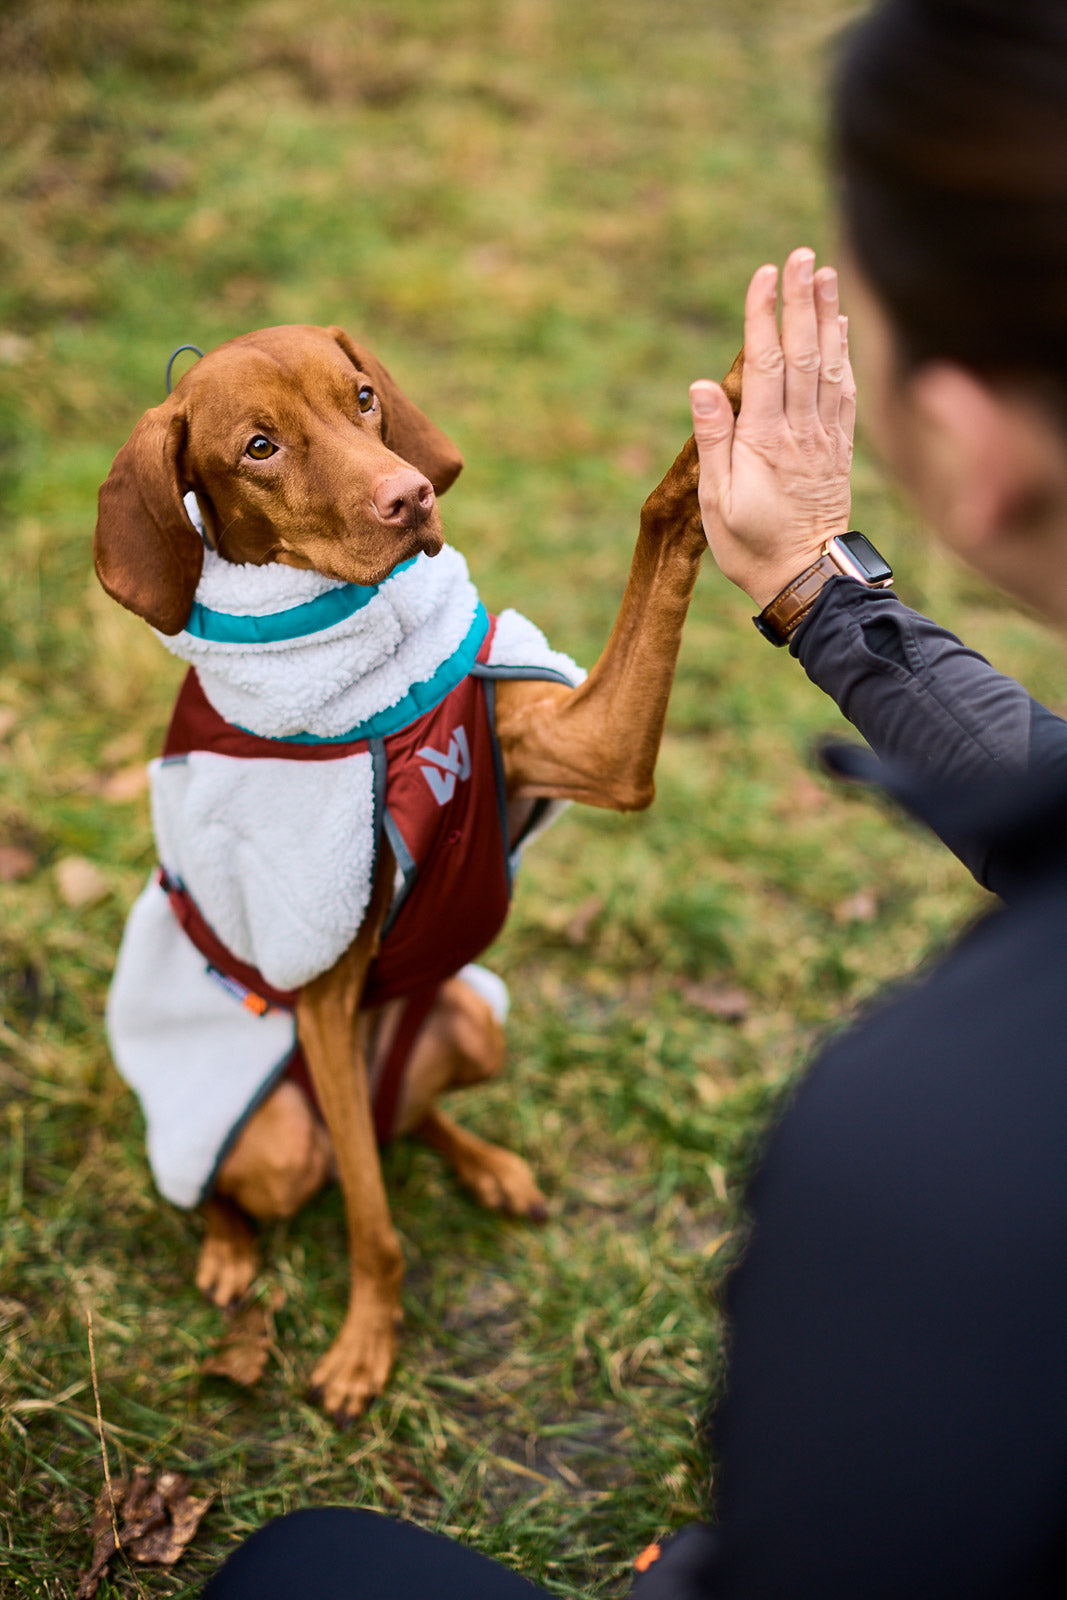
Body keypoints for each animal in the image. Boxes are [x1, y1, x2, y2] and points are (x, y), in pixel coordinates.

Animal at [93, 321, 742, 1414]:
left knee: (412, 1120)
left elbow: (660, 528)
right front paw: (366, 1344)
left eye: (361, 396)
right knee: (252, 1174)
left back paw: (483, 1164)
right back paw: (228, 1247)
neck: (378, 689)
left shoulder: (588, 749)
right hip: (267, 1131)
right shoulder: (320, 983)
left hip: (471, 1020)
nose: (409, 499)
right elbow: (372, 1222)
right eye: (258, 447)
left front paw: (738, 405)